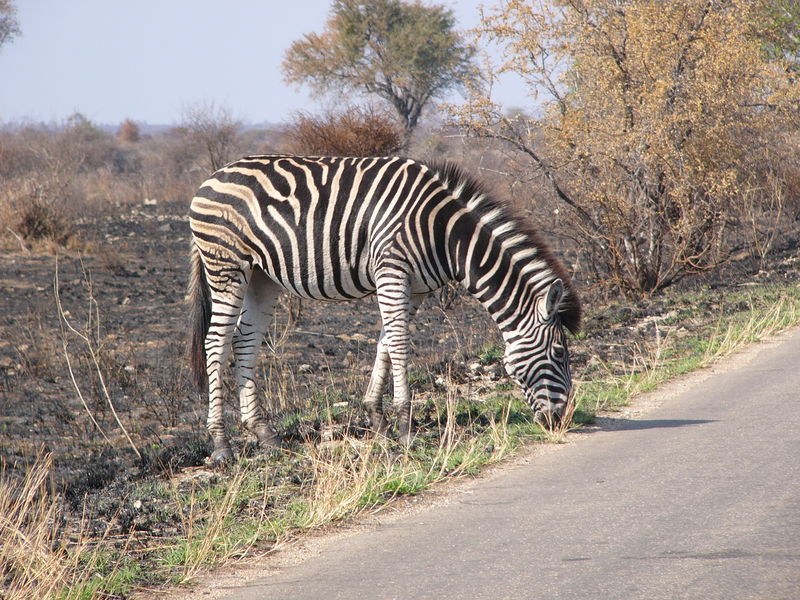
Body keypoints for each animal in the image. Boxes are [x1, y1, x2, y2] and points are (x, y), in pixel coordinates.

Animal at [188, 156, 580, 464]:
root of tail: (211, 176)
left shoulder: (416, 288)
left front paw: (378, 419)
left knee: (245, 342)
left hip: (261, 276)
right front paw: (405, 427)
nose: (562, 420)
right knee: (216, 342)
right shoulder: (392, 272)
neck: (445, 235)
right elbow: (401, 345)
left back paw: (264, 433)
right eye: (560, 354)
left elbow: (387, 343)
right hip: (226, 266)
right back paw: (221, 443)